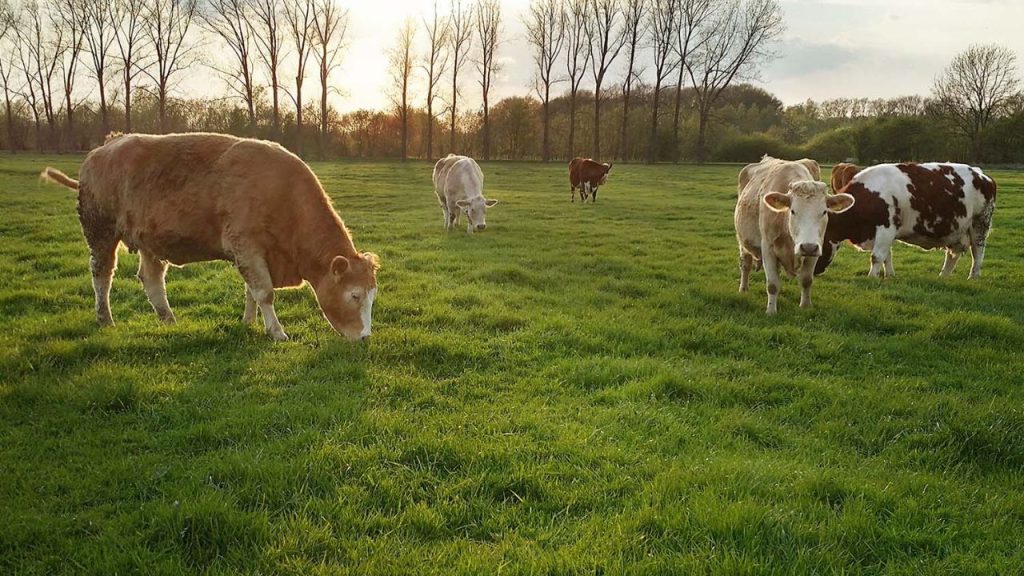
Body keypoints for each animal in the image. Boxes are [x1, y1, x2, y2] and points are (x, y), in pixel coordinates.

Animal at [38, 132, 380, 340]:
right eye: (354, 295)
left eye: (372, 296)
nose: (365, 337)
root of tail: (103, 148)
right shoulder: (247, 246)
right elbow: (264, 292)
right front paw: (277, 332)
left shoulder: (253, 254)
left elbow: (251, 292)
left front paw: (249, 322)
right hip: (100, 232)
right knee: (102, 276)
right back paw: (105, 318)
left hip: (148, 241)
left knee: (151, 280)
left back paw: (168, 319)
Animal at [737, 154, 856, 311]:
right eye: (792, 211)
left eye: (824, 212)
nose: (808, 247)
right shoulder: (767, 248)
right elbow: (772, 284)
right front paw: (771, 310)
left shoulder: (816, 249)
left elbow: (806, 280)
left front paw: (805, 306)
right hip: (742, 242)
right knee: (746, 264)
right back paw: (743, 289)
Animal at [811, 161, 995, 278]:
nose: (814, 272)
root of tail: (981, 174)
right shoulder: (884, 233)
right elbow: (887, 256)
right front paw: (889, 275)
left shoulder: (886, 228)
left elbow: (877, 256)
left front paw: (871, 277)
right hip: (955, 230)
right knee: (952, 254)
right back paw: (943, 276)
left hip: (980, 224)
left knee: (978, 252)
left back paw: (973, 276)